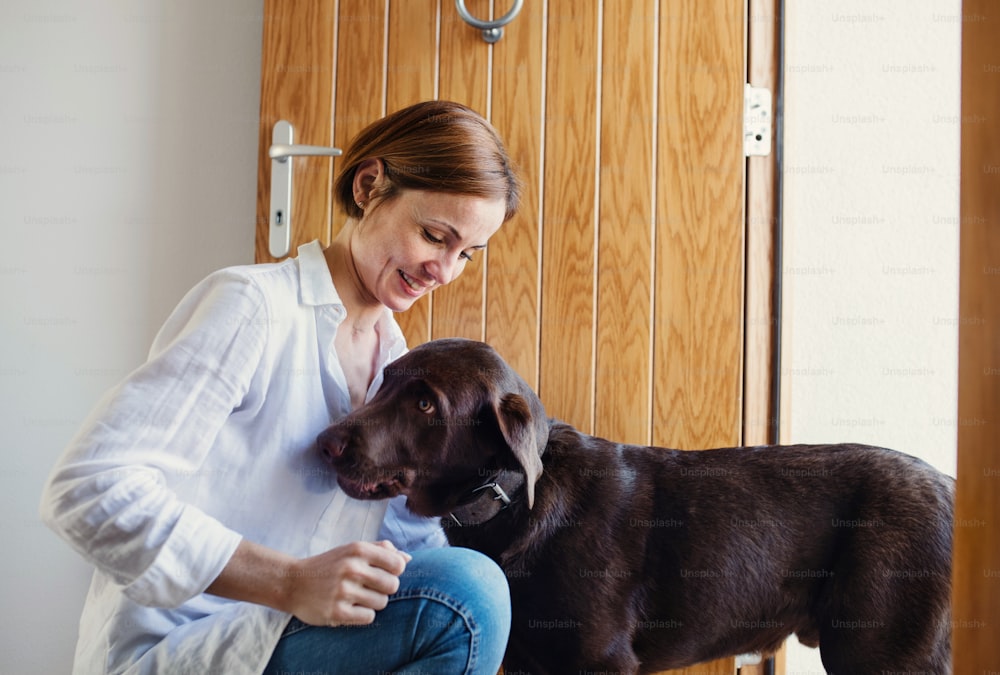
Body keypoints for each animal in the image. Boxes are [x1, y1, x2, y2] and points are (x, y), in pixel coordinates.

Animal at [318, 338, 952, 675]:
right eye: (383, 381)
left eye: (426, 404)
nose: (325, 443)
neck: (512, 502)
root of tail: (949, 484)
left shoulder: (602, 661)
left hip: (882, 651)